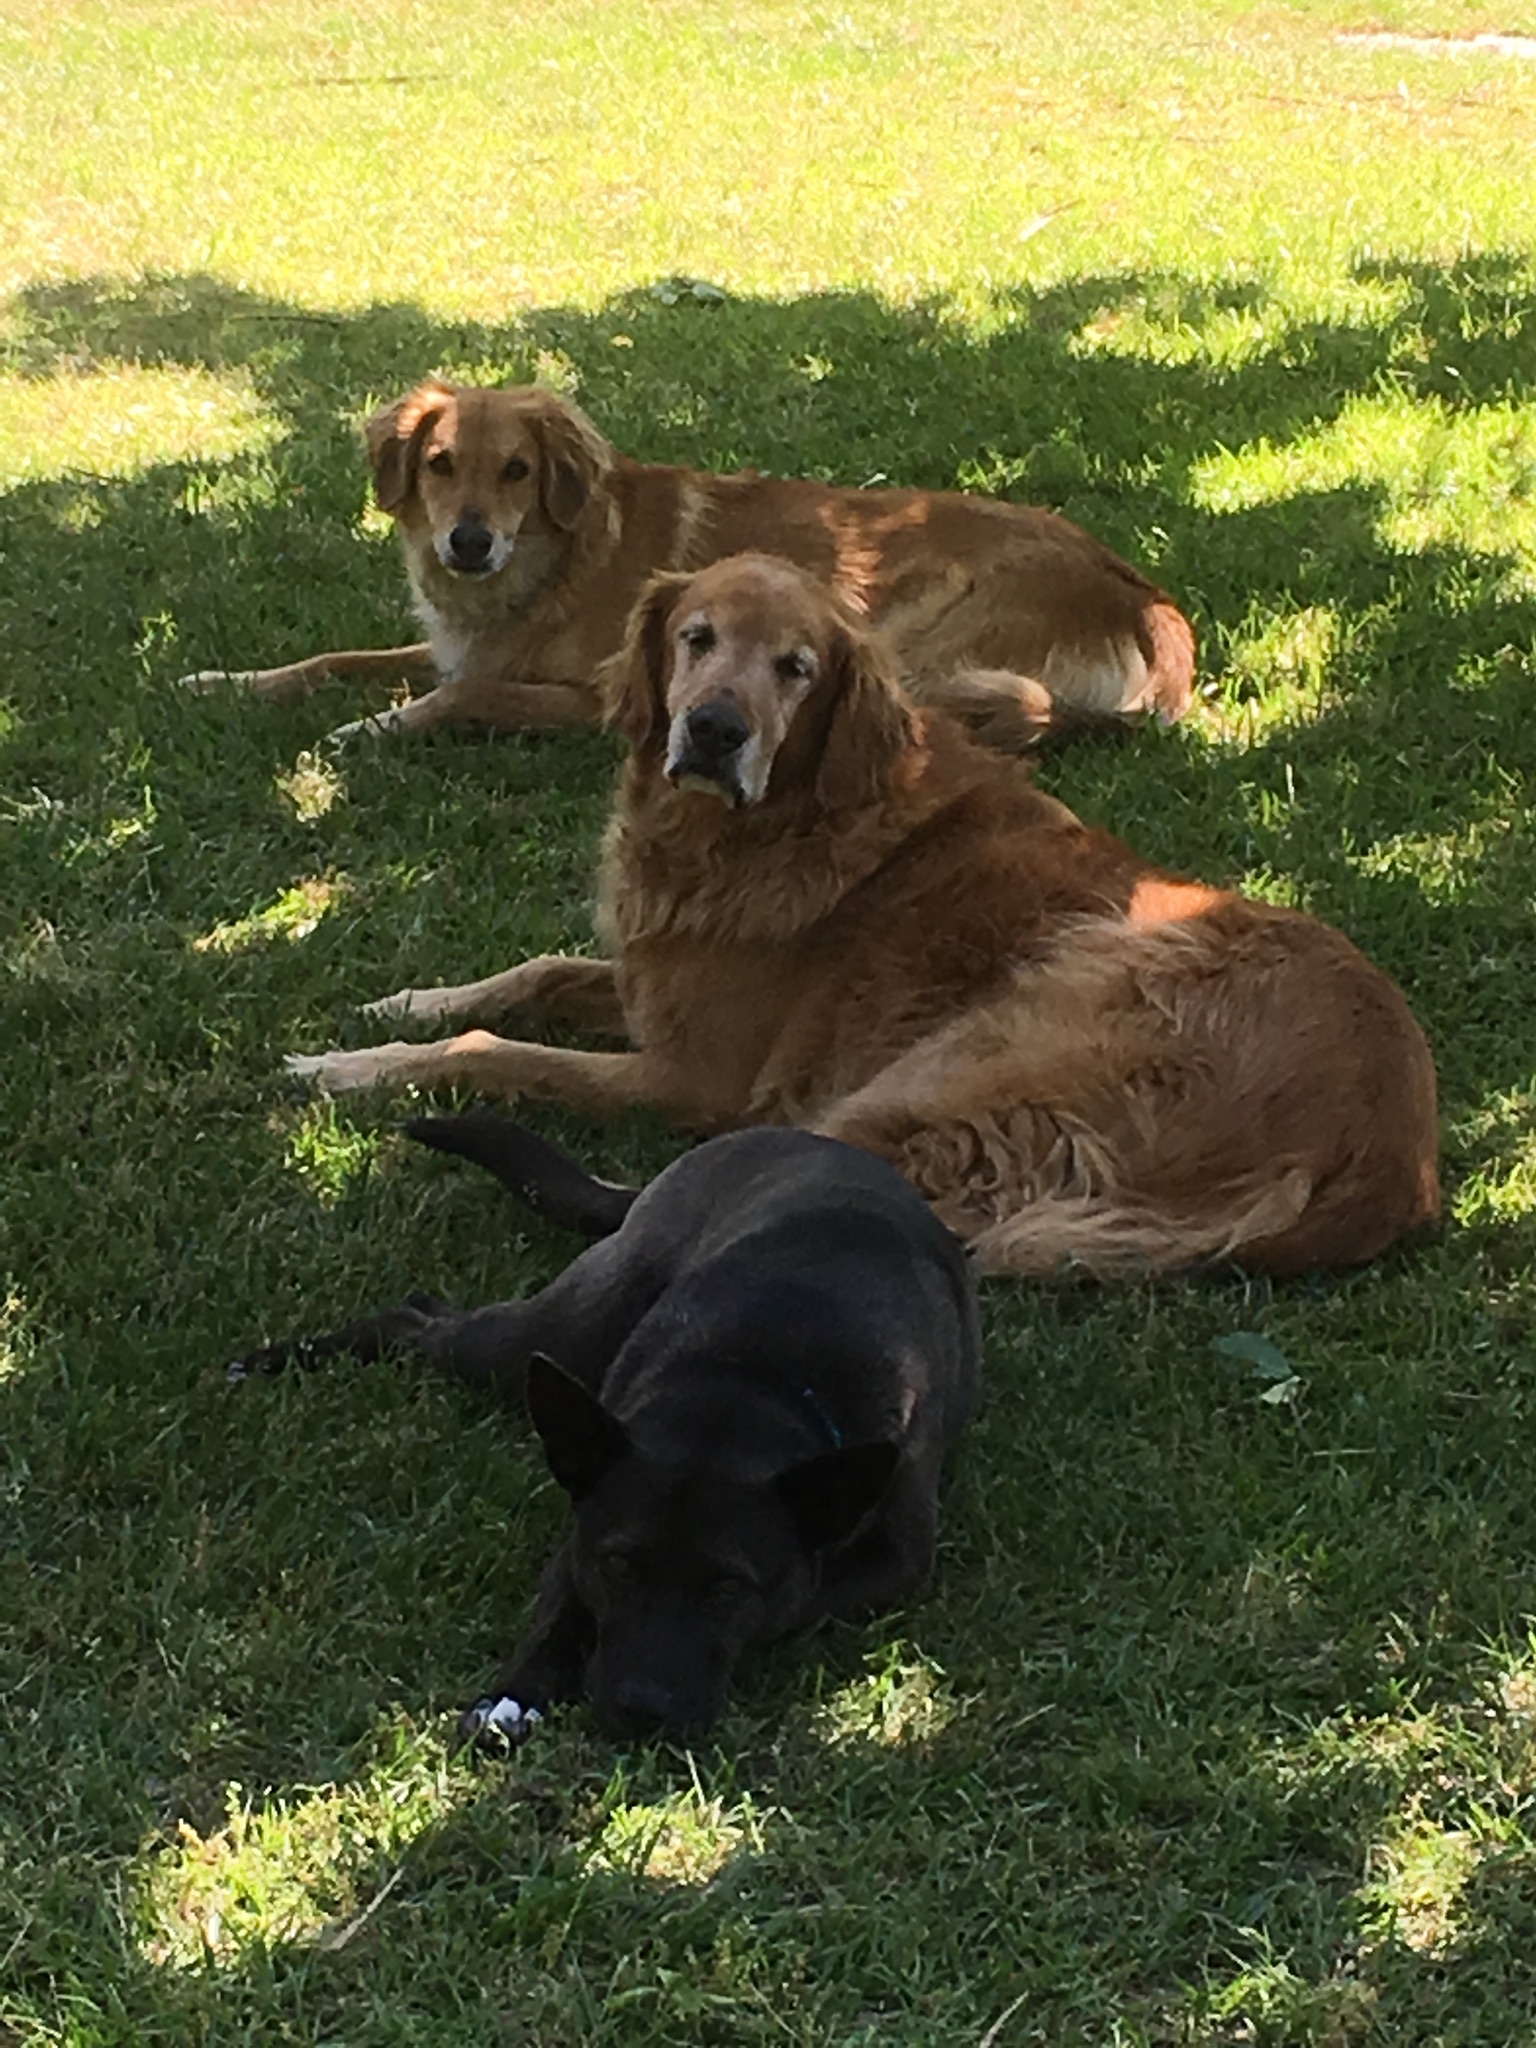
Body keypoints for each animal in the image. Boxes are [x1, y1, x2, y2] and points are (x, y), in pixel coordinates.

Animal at [180, 378, 1195, 751]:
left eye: (516, 471)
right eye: (438, 464)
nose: (468, 542)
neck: (555, 566)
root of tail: (1146, 595)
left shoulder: (594, 695)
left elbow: (466, 694)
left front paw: (372, 728)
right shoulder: (453, 640)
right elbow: (333, 658)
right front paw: (227, 680)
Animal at [232, 1112, 980, 1743]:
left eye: (730, 1590)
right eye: (619, 1565)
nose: (641, 1711)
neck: (745, 1390)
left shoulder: (895, 1561)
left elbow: (799, 1599)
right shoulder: (587, 1524)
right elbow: (561, 1606)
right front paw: (516, 1694)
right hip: (550, 1334)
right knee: (417, 1318)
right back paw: (279, 1358)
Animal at [286, 552, 1441, 1281]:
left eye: (796, 667)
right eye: (696, 638)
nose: (713, 730)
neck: (768, 827)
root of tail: (1391, 1155)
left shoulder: (692, 1076)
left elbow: (501, 1050)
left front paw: (353, 1067)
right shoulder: (654, 979)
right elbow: (530, 974)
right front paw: (406, 1001)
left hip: (990, 1042)